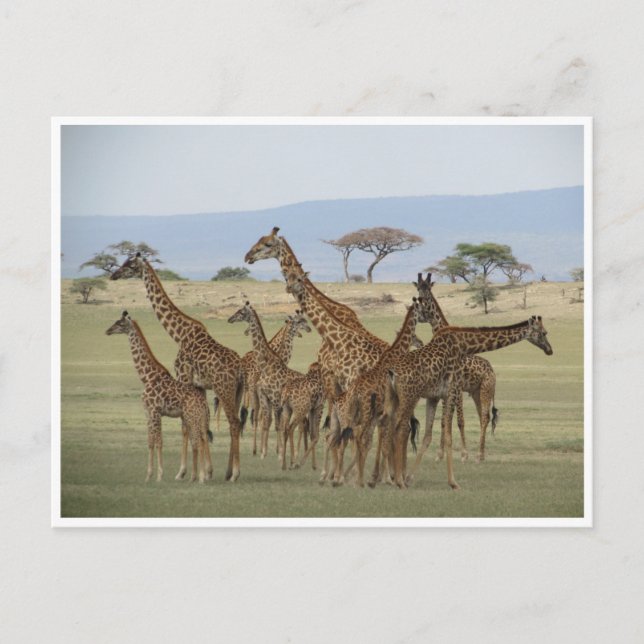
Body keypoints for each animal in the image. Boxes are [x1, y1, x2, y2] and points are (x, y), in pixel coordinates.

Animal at [105, 311, 212, 483]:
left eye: (120, 324)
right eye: (116, 322)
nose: (108, 330)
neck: (147, 377)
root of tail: (203, 401)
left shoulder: (156, 412)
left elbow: (159, 442)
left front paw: (159, 475)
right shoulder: (148, 413)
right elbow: (150, 442)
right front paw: (148, 475)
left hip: (192, 417)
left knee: (199, 441)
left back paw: (201, 477)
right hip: (196, 418)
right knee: (200, 440)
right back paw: (197, 476)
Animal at [382, 316, 553, 489]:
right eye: (544, 332)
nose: (549, 350)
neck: (464, 345)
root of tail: (391, 373)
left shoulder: (435, 396)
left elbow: (429, 435)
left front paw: (410, 477)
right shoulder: (452, 390)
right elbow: (449, 434)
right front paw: (453, 481)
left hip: (397, 398)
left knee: (389, 428)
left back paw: (390, 478)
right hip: (410, 397)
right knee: (399, 429)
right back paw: (397, 479)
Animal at [413, 273, 499, 466]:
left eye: (428, 290)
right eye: (418, 288)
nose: (420, 303)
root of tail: (492, 371)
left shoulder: (456, 388)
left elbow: (459, 420)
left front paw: (464, 454)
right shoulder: (447, 390)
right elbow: (445, 421)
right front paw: (440, 454)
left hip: (486, 389)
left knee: (484, 417)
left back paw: (478, 455)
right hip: (475, 392)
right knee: (483, 417)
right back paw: (481, 454)